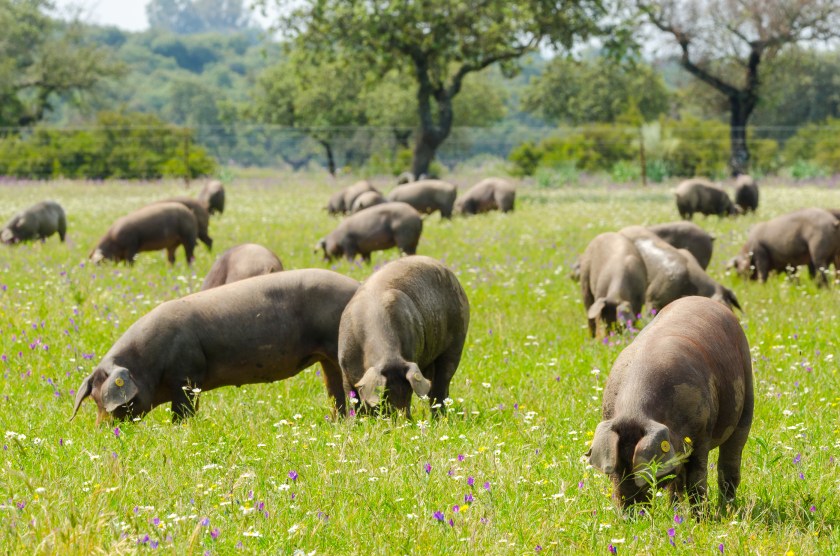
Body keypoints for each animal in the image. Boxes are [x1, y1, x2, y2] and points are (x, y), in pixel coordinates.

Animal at [70, 269, 360, 422]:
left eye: (108, 402)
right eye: (94, 399)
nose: (103, 430)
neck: (147, 362)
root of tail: (357, 285)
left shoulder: (186, 376)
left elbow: (182, 413)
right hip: (326, 358)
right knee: (334, 389)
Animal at [338, 256, 470, 418]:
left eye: (409, 391)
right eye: (385, 395)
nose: (405, 421)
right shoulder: (344, 368)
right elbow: (352, 398)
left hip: (456, 342)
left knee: (441, 386)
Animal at [587, 296, 754, 510]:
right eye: (614, 472)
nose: (631, 512)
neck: (635, 411)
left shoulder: (702, 432)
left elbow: (697, 480)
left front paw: (703, 516)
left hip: (746, 393)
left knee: (730, 461)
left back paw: (727, 509)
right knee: (678, 482)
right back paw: (675, 509)